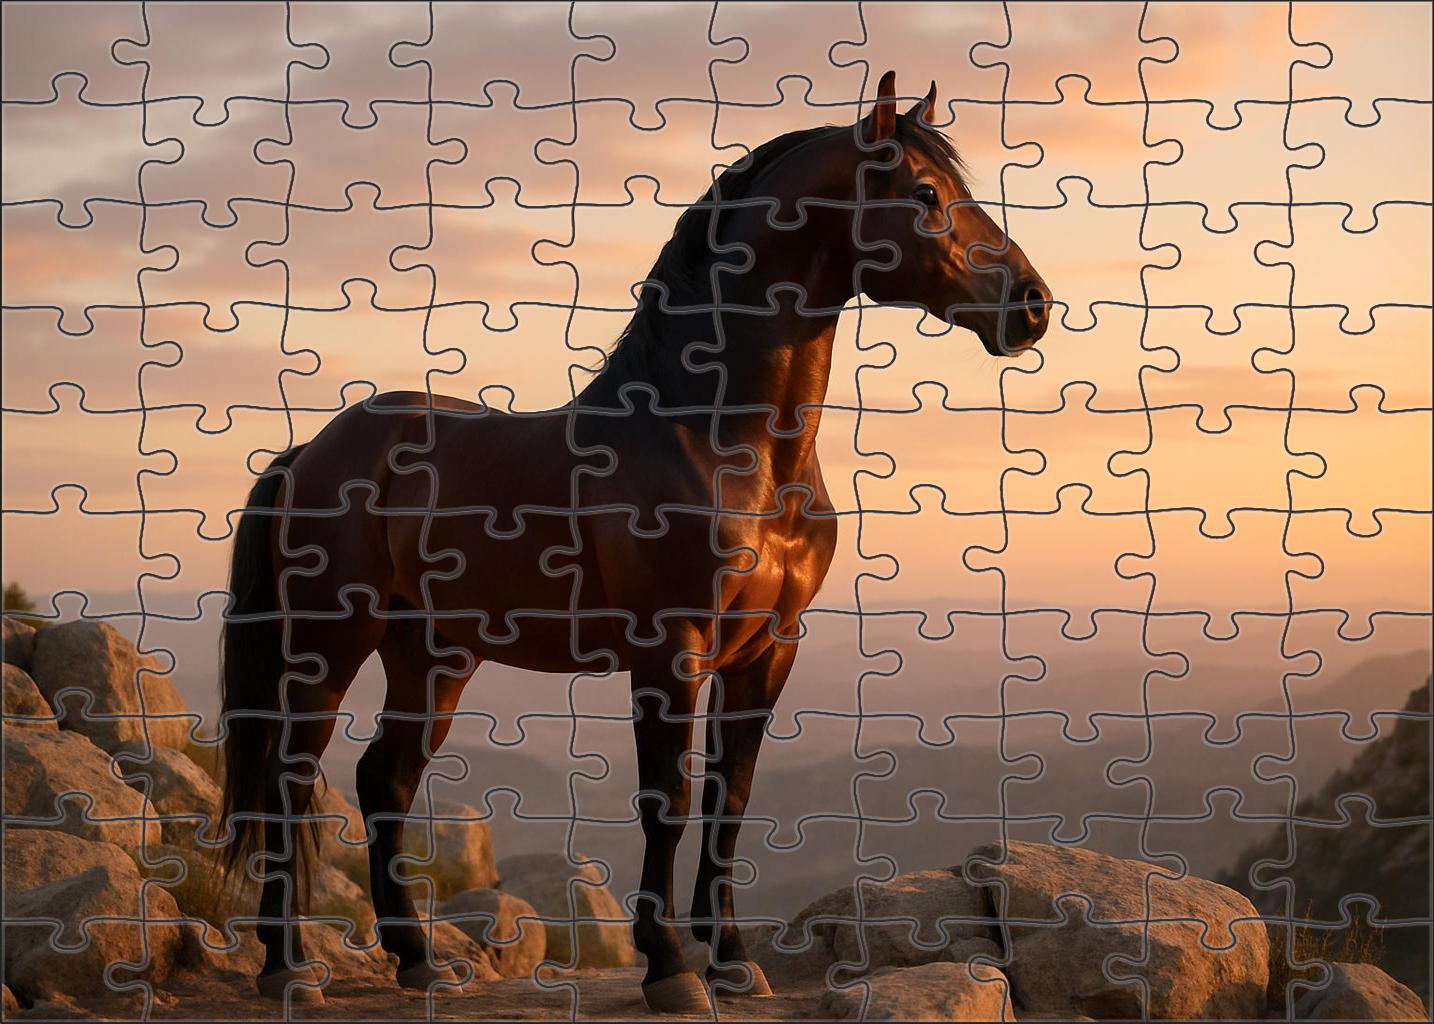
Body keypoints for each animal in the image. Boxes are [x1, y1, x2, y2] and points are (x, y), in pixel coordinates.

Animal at [218, 70, 1050, 1013]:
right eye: (925, 195)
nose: (1031, 305)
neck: (718, 438)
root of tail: (312, 451)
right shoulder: (669, 649)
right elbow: (670, 800)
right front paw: (670, 968)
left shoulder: (767, 651)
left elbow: (732, 798)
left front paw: (732, 962)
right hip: (330, 644)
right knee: (290, 780)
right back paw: (288, 966)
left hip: (431, 654)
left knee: (382, 780)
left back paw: (419, 958)